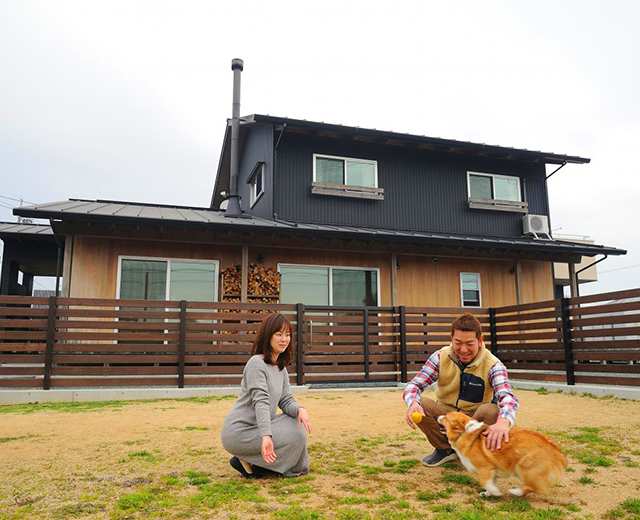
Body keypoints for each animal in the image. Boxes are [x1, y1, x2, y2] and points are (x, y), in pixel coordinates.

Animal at [438, 410, 568, 496]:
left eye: (446, 418)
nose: (437, 416)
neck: (463, 433)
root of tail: (558, 452)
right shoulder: (493, 470)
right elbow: (490, 483)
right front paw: (487, 493)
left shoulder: (485, 468)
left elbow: (484, 482)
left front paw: (495, 492)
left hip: (524, 467)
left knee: (533, 487)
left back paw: (516, 491)